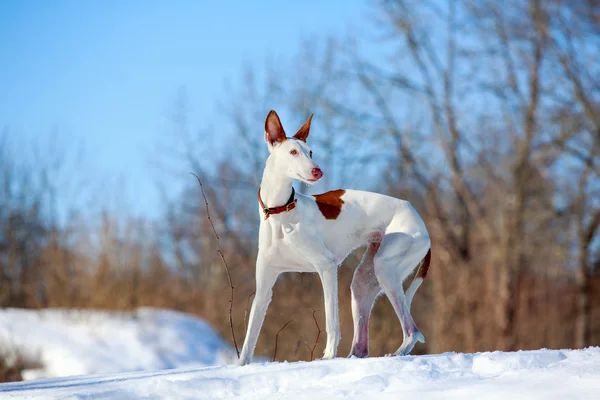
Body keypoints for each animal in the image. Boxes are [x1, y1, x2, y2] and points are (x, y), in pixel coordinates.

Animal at [239, 110, 432, 366]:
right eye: (293, 152)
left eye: (310, 152)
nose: (317, 171)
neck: (281, 211)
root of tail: (420, 221)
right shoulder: (264, 287)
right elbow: (250, 336)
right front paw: (240, 366)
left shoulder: (327, 267)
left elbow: (331, 320)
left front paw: (329, 356)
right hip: (363, 281)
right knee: (362, 345)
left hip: (386, 269)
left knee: (412, 331)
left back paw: (397, 352)